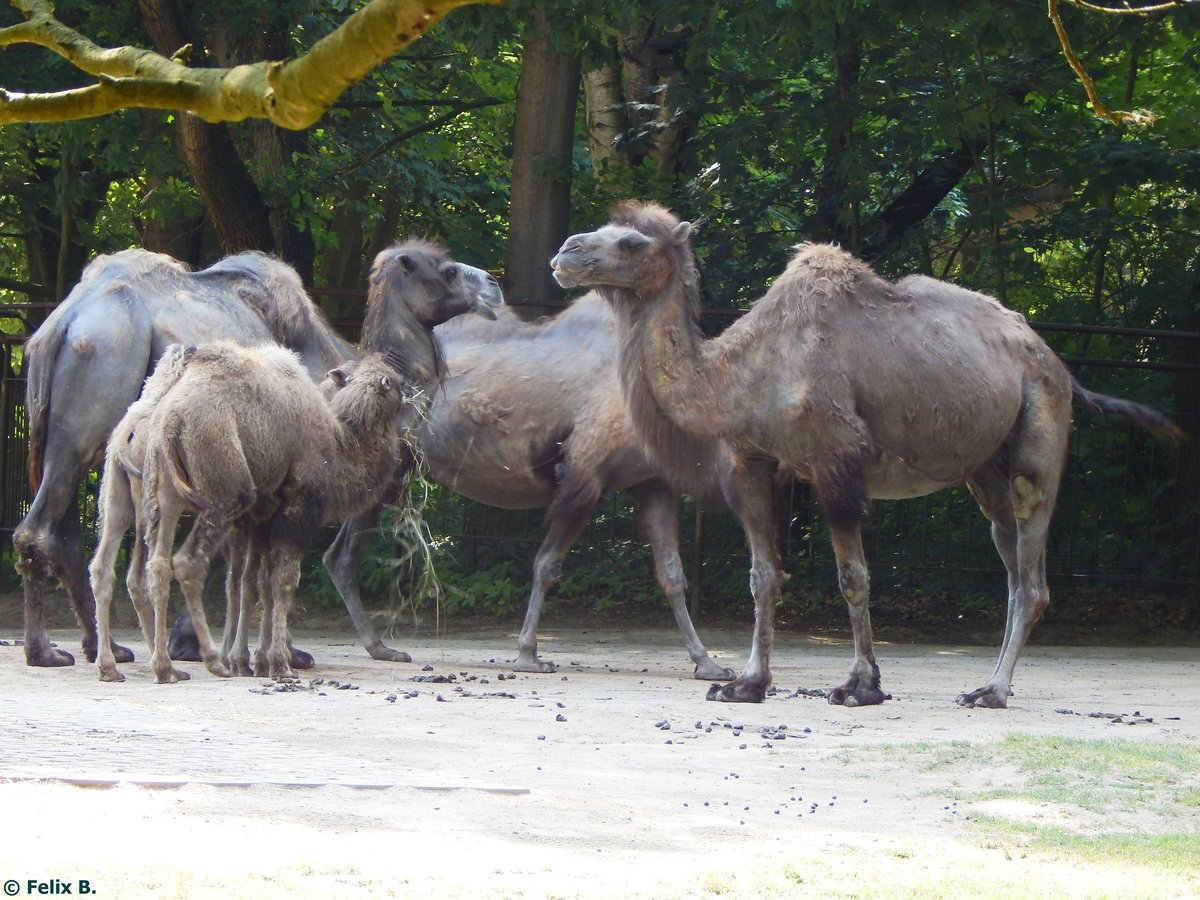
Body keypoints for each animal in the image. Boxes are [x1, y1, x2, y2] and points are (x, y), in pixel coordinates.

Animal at [94, 343, 412, 681]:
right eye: (393, 382)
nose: (408, 385)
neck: (339, 443)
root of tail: (165, 421)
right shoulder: (297, 511)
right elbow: (282, 580)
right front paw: (277, 663)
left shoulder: (260, 518)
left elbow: (251, 582)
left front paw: (254, 660)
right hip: (225, 493)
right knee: (186, 562)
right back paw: (210, 661)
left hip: (143, 497)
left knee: (131, 567)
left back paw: (141, 666)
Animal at [549, 204, 1180, 710]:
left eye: (633, 242)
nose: (566, 251)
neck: (739, 375)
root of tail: (1058, 366)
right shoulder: (751, 465)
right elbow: (763, 576)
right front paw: (746, 683)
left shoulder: (836, 464)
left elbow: (852, 577)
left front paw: (861, 685)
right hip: (985, 469)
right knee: (1010, 557)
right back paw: (984, 683)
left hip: (1040, 438)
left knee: (1031, 571)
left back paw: (993, 691)